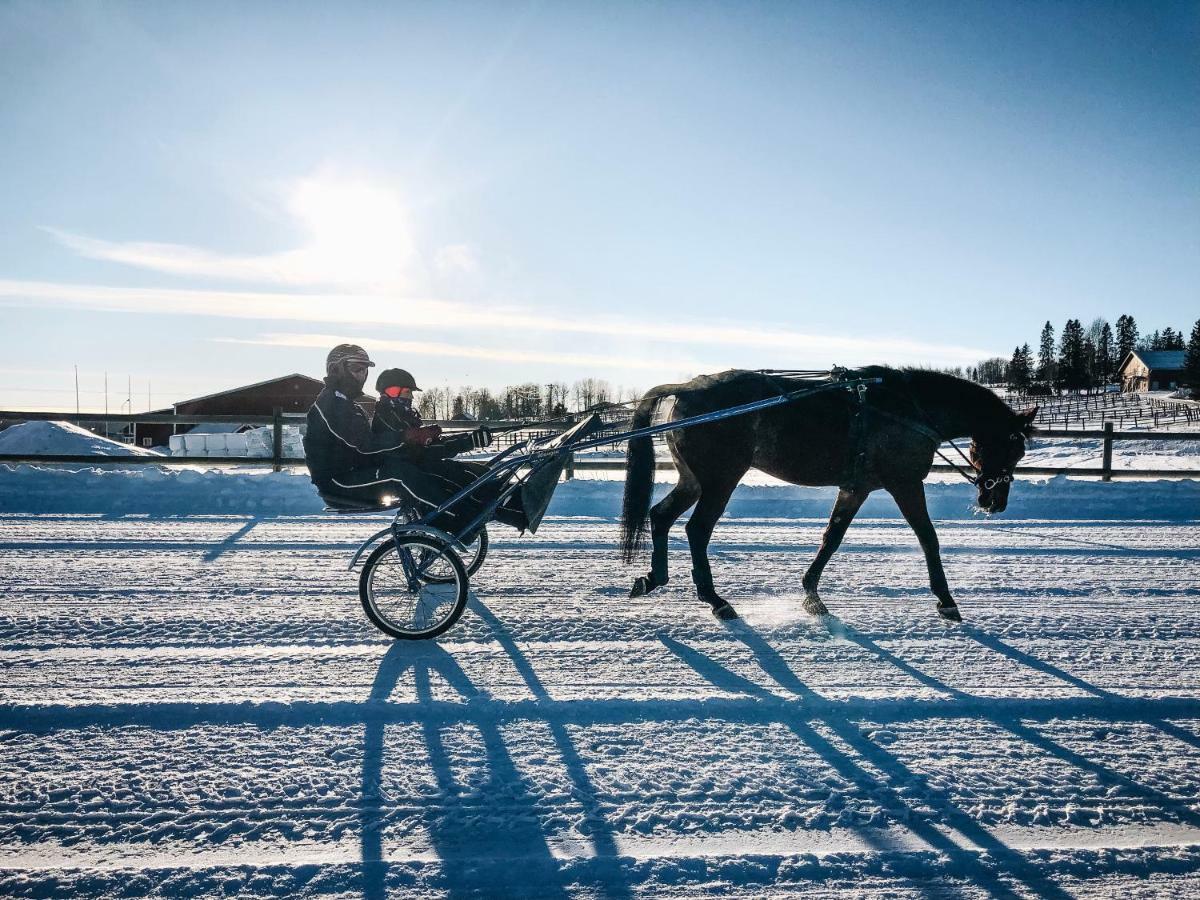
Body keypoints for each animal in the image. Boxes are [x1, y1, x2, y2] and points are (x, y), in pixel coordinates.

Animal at [624, 369, 1036, 624]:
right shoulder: (904, 482)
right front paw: (946, 601)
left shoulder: (856, 487)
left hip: (694, 479)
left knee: (661, 516)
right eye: (1014, 447)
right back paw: (715, 599)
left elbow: (832, 538)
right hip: (720, 480)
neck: (908, 408)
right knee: (697, 530)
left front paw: (811, 595)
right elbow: (928, 538)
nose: (995, 502)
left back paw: (654, 577)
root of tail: (686, 387)